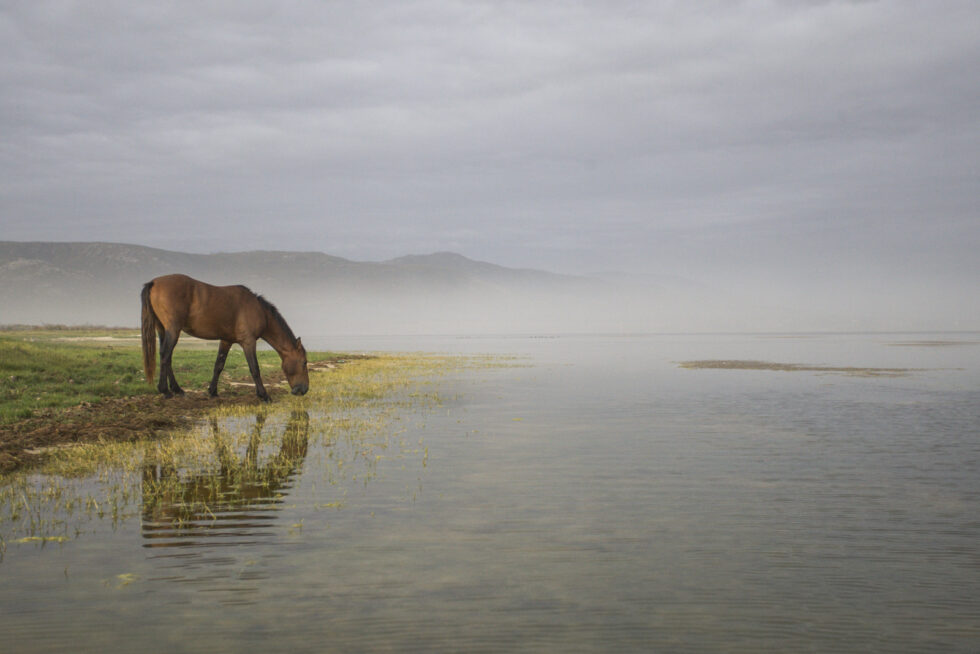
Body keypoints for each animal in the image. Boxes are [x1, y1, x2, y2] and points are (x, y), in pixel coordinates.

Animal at [141, 274, 309, 401]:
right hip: (173, 330)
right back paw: (165, 390)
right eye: (304, 362)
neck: (258, 310)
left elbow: (219, 365)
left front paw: (213, 391)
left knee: (167, 358)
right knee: (165, 355)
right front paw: (264, 395)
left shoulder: (226, 341)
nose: (304, 389)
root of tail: (154, 282)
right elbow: (254, 369)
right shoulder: (248, 342)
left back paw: (177, 390)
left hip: (163, 330)